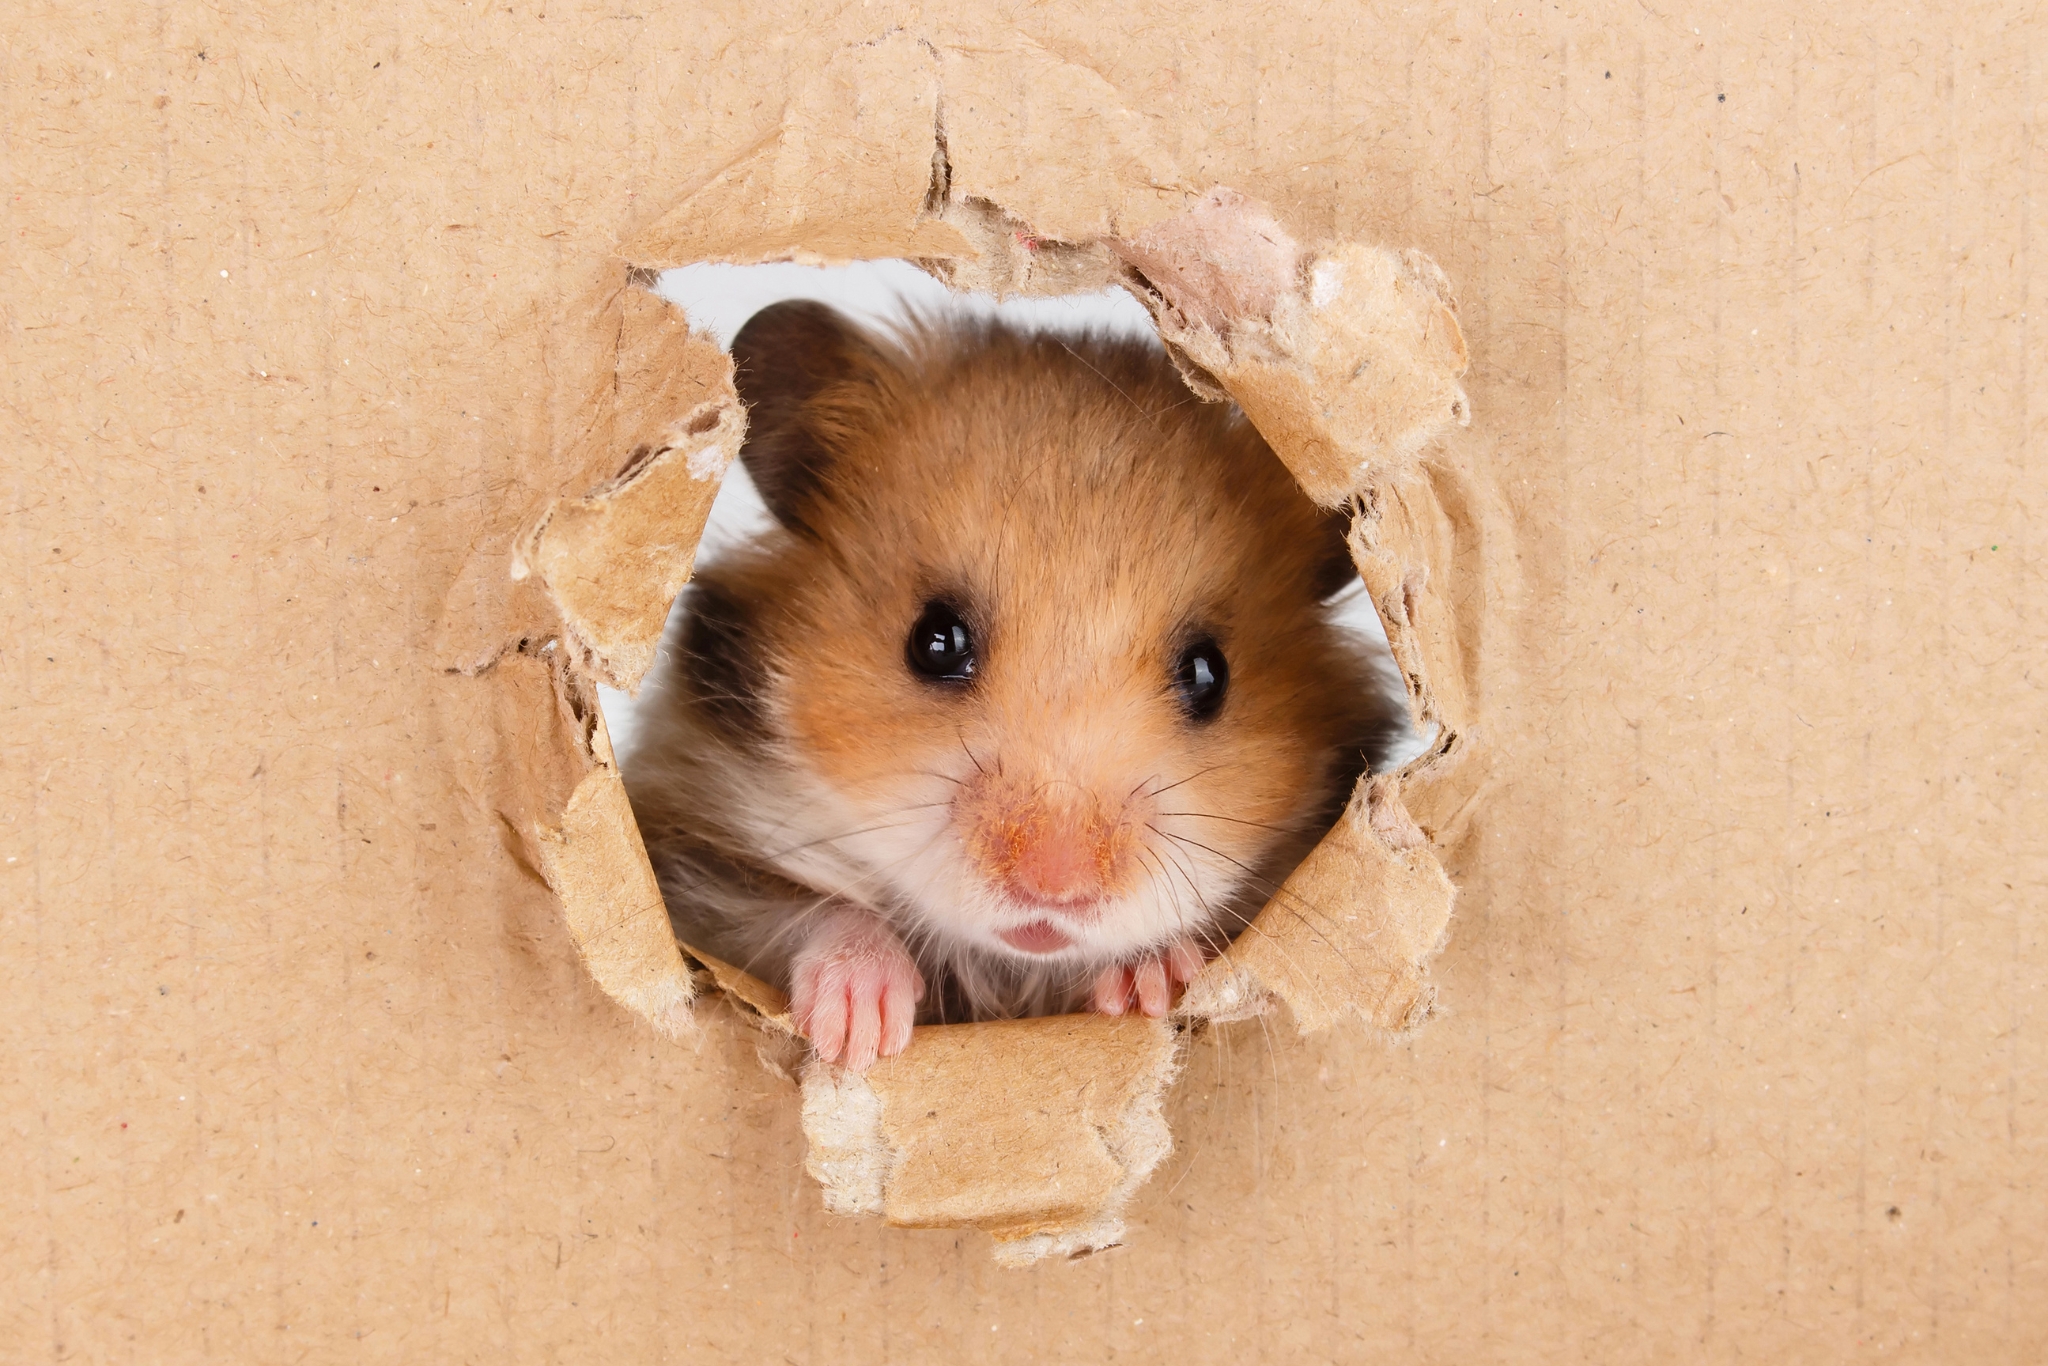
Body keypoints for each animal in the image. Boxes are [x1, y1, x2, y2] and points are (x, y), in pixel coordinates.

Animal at [623, 299, 1400, 1070]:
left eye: (1210, 674)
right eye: (935, 640)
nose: (1055, 889)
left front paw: (1150, 982)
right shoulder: (695, 862)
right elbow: (812, 911)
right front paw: (861, 1031)